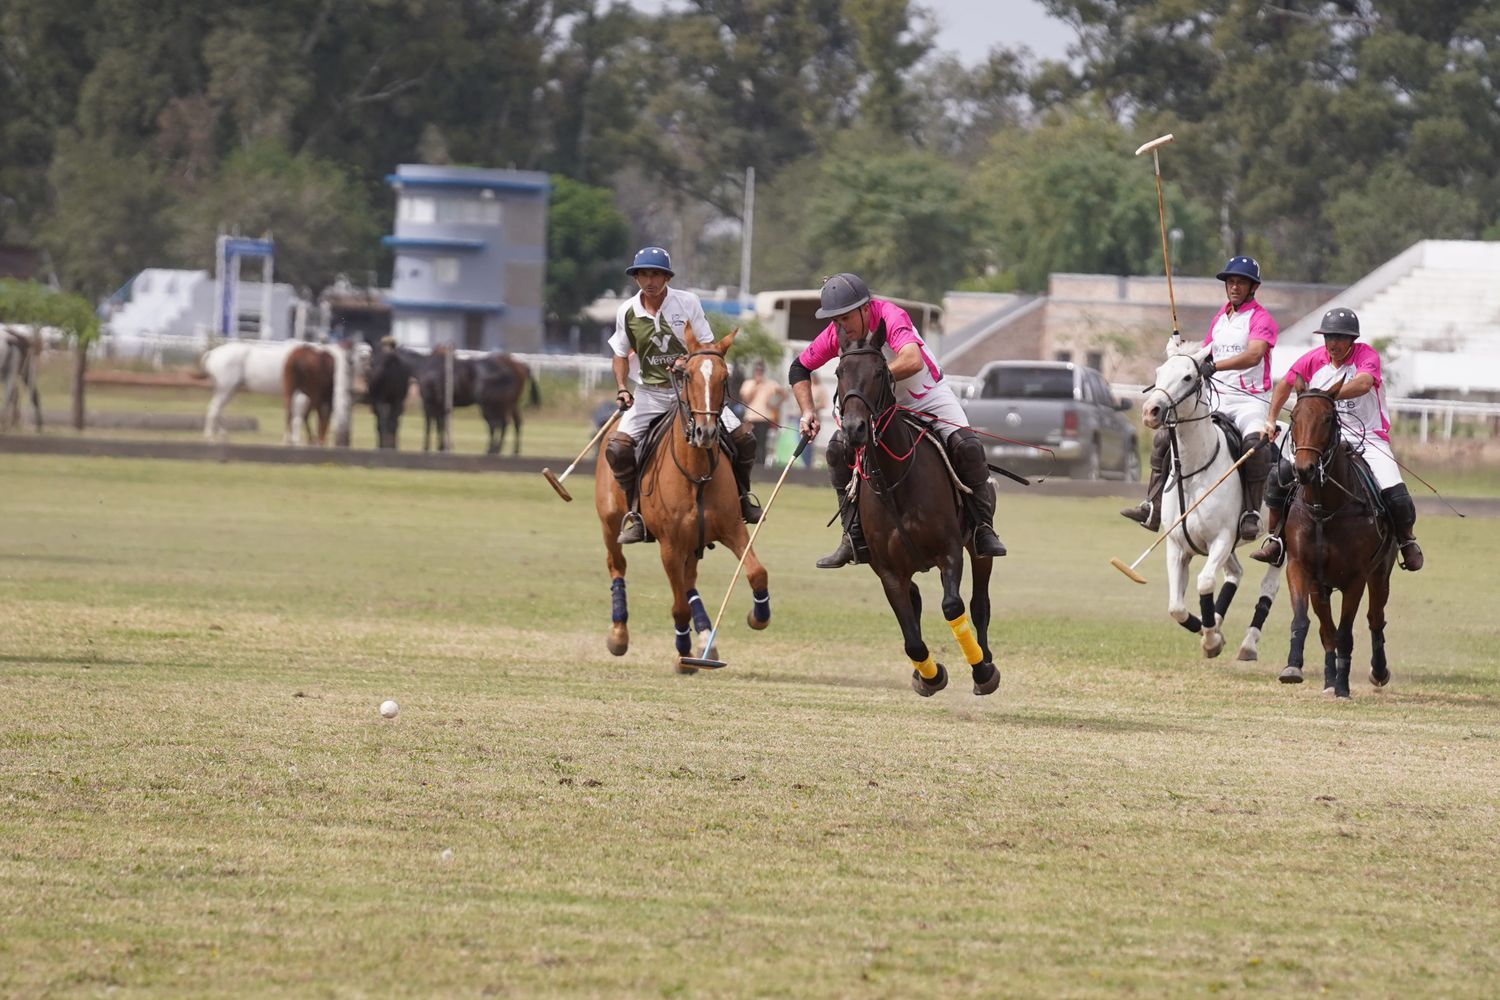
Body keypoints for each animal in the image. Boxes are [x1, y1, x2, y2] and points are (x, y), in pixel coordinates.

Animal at [202, 340, 354, 446]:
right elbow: (298, 417)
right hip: (226, 389)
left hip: (230, 390)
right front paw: (295, 440)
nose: (345, 443)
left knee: (217, 410)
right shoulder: (303, 397)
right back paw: (210, 438)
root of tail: (212, 353)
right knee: (214, 409)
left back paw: (222, 436)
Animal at [588, 329, 774, 671]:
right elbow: (678, 608)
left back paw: (706, 642)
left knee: (689, 583)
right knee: (616, 564)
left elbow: (757, 572)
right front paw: (683, 653)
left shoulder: (732, 529)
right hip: (609, 522)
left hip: (694, 542)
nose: (705, 432)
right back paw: (619, 634)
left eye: (725, 377)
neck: (696, 475)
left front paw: (758, 616)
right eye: (686, 375)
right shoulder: (670, 547)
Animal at [840, 325, 1002, 701]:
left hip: (978, 547)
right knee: (916, 604)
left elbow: (953, 606)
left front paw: (981, 670)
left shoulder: (949, 551)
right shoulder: (888, 571)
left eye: (879, 372)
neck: (894, 481)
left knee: (979, 602)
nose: (854, 429)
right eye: (839, 372)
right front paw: (930, 676)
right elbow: (912, 637)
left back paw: (985, 663)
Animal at [1140, 340, 1284, 659]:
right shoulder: (1177, 544)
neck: (1193, 471)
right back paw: (1216, 623)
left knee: (1269, 582)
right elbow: (1176, 607)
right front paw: (1209, 631)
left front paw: (1211, 639)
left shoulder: (1221, 538)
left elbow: (1205, 582)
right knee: (1236, 573)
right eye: (1158, 372)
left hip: (1286, 536)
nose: (1150, 411)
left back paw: (1247, 644)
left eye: (1188, 377)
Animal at [1272, 379, 1398, 701]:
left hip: (1381, 573)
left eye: (1328, 418)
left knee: (1375, 618)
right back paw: (1329, 679)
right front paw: (1294, 668)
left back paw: (1378, 672)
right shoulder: (1300, 568)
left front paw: (1343, 686)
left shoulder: (1356, 578)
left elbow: (1345, 633)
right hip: (1322, 586)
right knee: (1326, 630)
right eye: (1294, 417)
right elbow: (1307, 621)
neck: (1324, 510)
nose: (1304, 469)